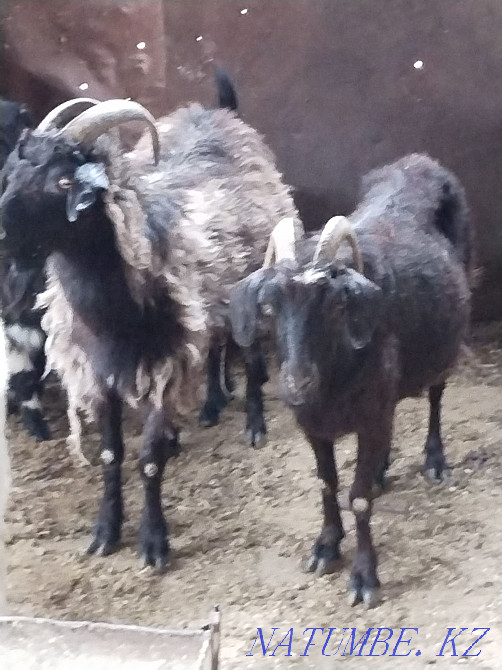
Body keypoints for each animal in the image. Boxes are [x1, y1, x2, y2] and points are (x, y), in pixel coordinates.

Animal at [0, 71, 299, 570]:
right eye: (13, 172)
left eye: (63, 181)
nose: (0, 233)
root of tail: (219, 110)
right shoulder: (99, 371)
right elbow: (110, 454)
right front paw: (105, 532)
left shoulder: (164, 363)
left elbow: (149, 460)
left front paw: (154, 542)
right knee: (215, 343)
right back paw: (211, 405)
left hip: (249, 284)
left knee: (249, 354)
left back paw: (253, 423)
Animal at [229, 154, 472, 606]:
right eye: (269, 306)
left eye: (336, 304)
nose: (297, 384)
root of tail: (419, 162)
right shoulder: (315, 425)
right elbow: (327, 483)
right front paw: (325, 547)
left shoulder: (371, 414)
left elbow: (358, 499)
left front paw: (364, 577)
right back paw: (380, 469)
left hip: (445, 343)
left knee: (435, 395)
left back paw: (434, 461)